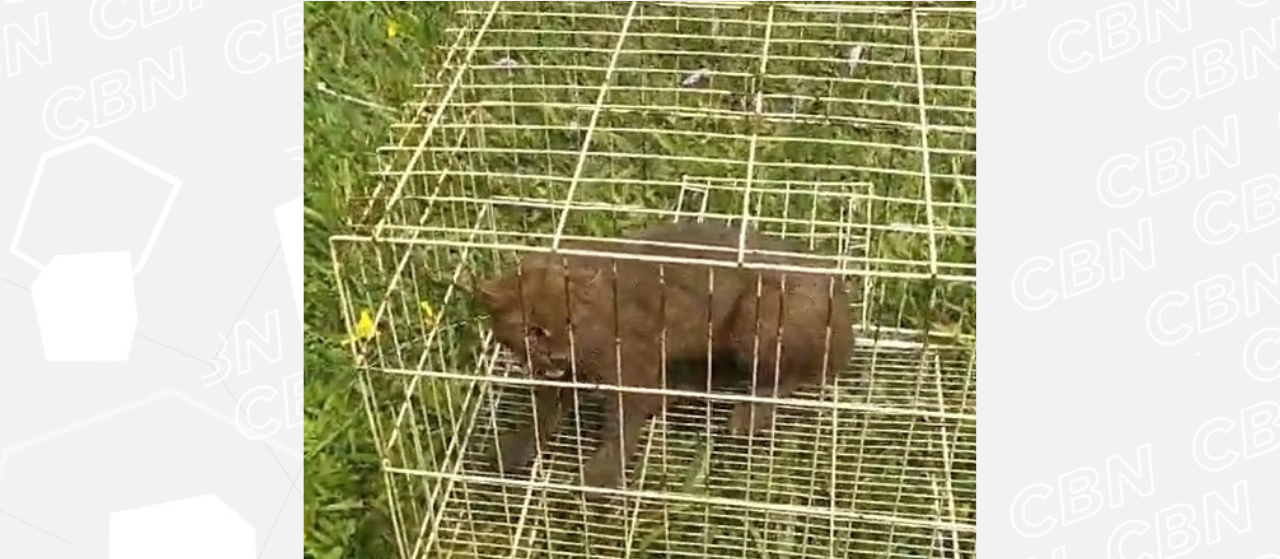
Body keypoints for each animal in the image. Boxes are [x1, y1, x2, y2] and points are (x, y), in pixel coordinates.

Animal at [473, 220, 849, 491]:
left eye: (572, 322)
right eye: (531, 330)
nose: (557, 357)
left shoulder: (634, 364)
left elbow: (621, 424)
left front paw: (600, 477)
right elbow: (544, 412)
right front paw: (514, 448)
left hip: (756, 319)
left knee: (795, 373)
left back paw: (746, 416)